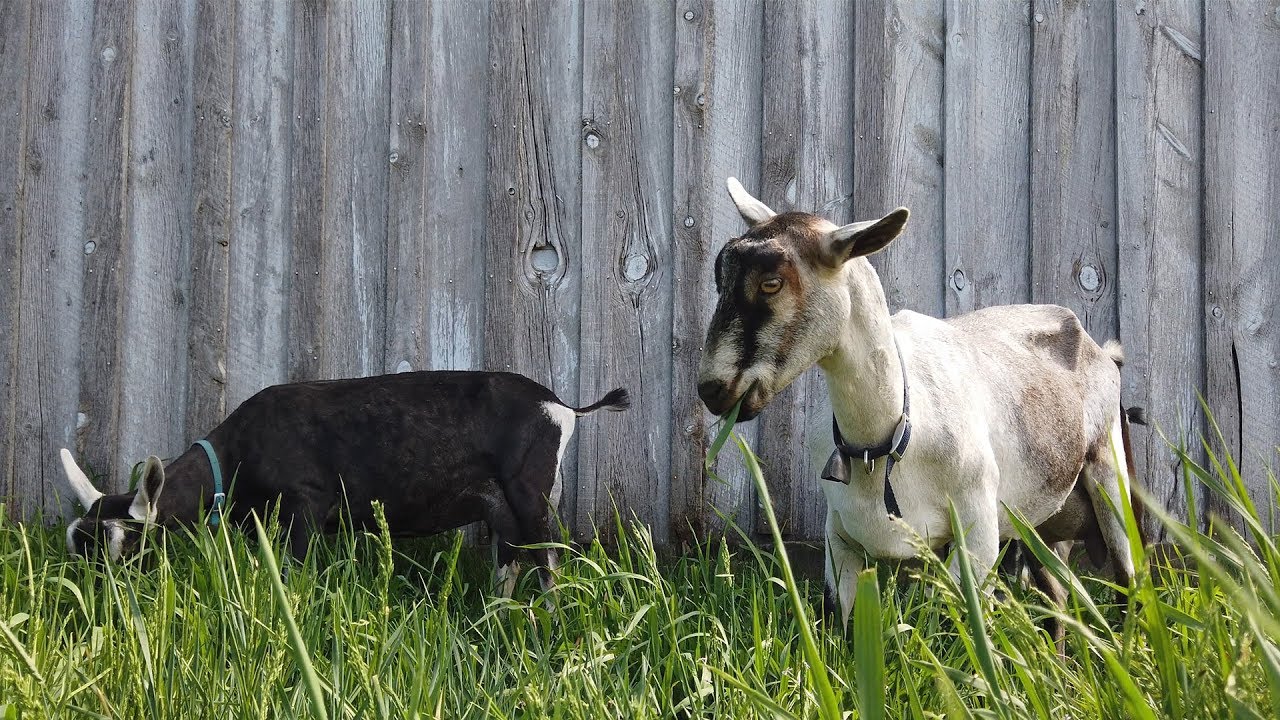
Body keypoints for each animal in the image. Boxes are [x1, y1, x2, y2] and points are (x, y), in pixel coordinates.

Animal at [61, 370, 629, 595]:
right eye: (74, 541)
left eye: (123, 542)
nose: (91, 605)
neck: (238, 453)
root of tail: (561, 405)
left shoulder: (305, 508)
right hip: (501, 510)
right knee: (509, 569)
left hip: (531, 496)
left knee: (551, 563)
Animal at [697, 177, 1139, 626]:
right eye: (720, 279)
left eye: (772, 282)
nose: (711, 389)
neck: (884, 440)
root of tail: (1102, 350)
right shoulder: (840, 539)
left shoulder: (977, 535)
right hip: (1040, 524)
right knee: (1058, 601)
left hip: (1112, 482)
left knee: (1130, 587)